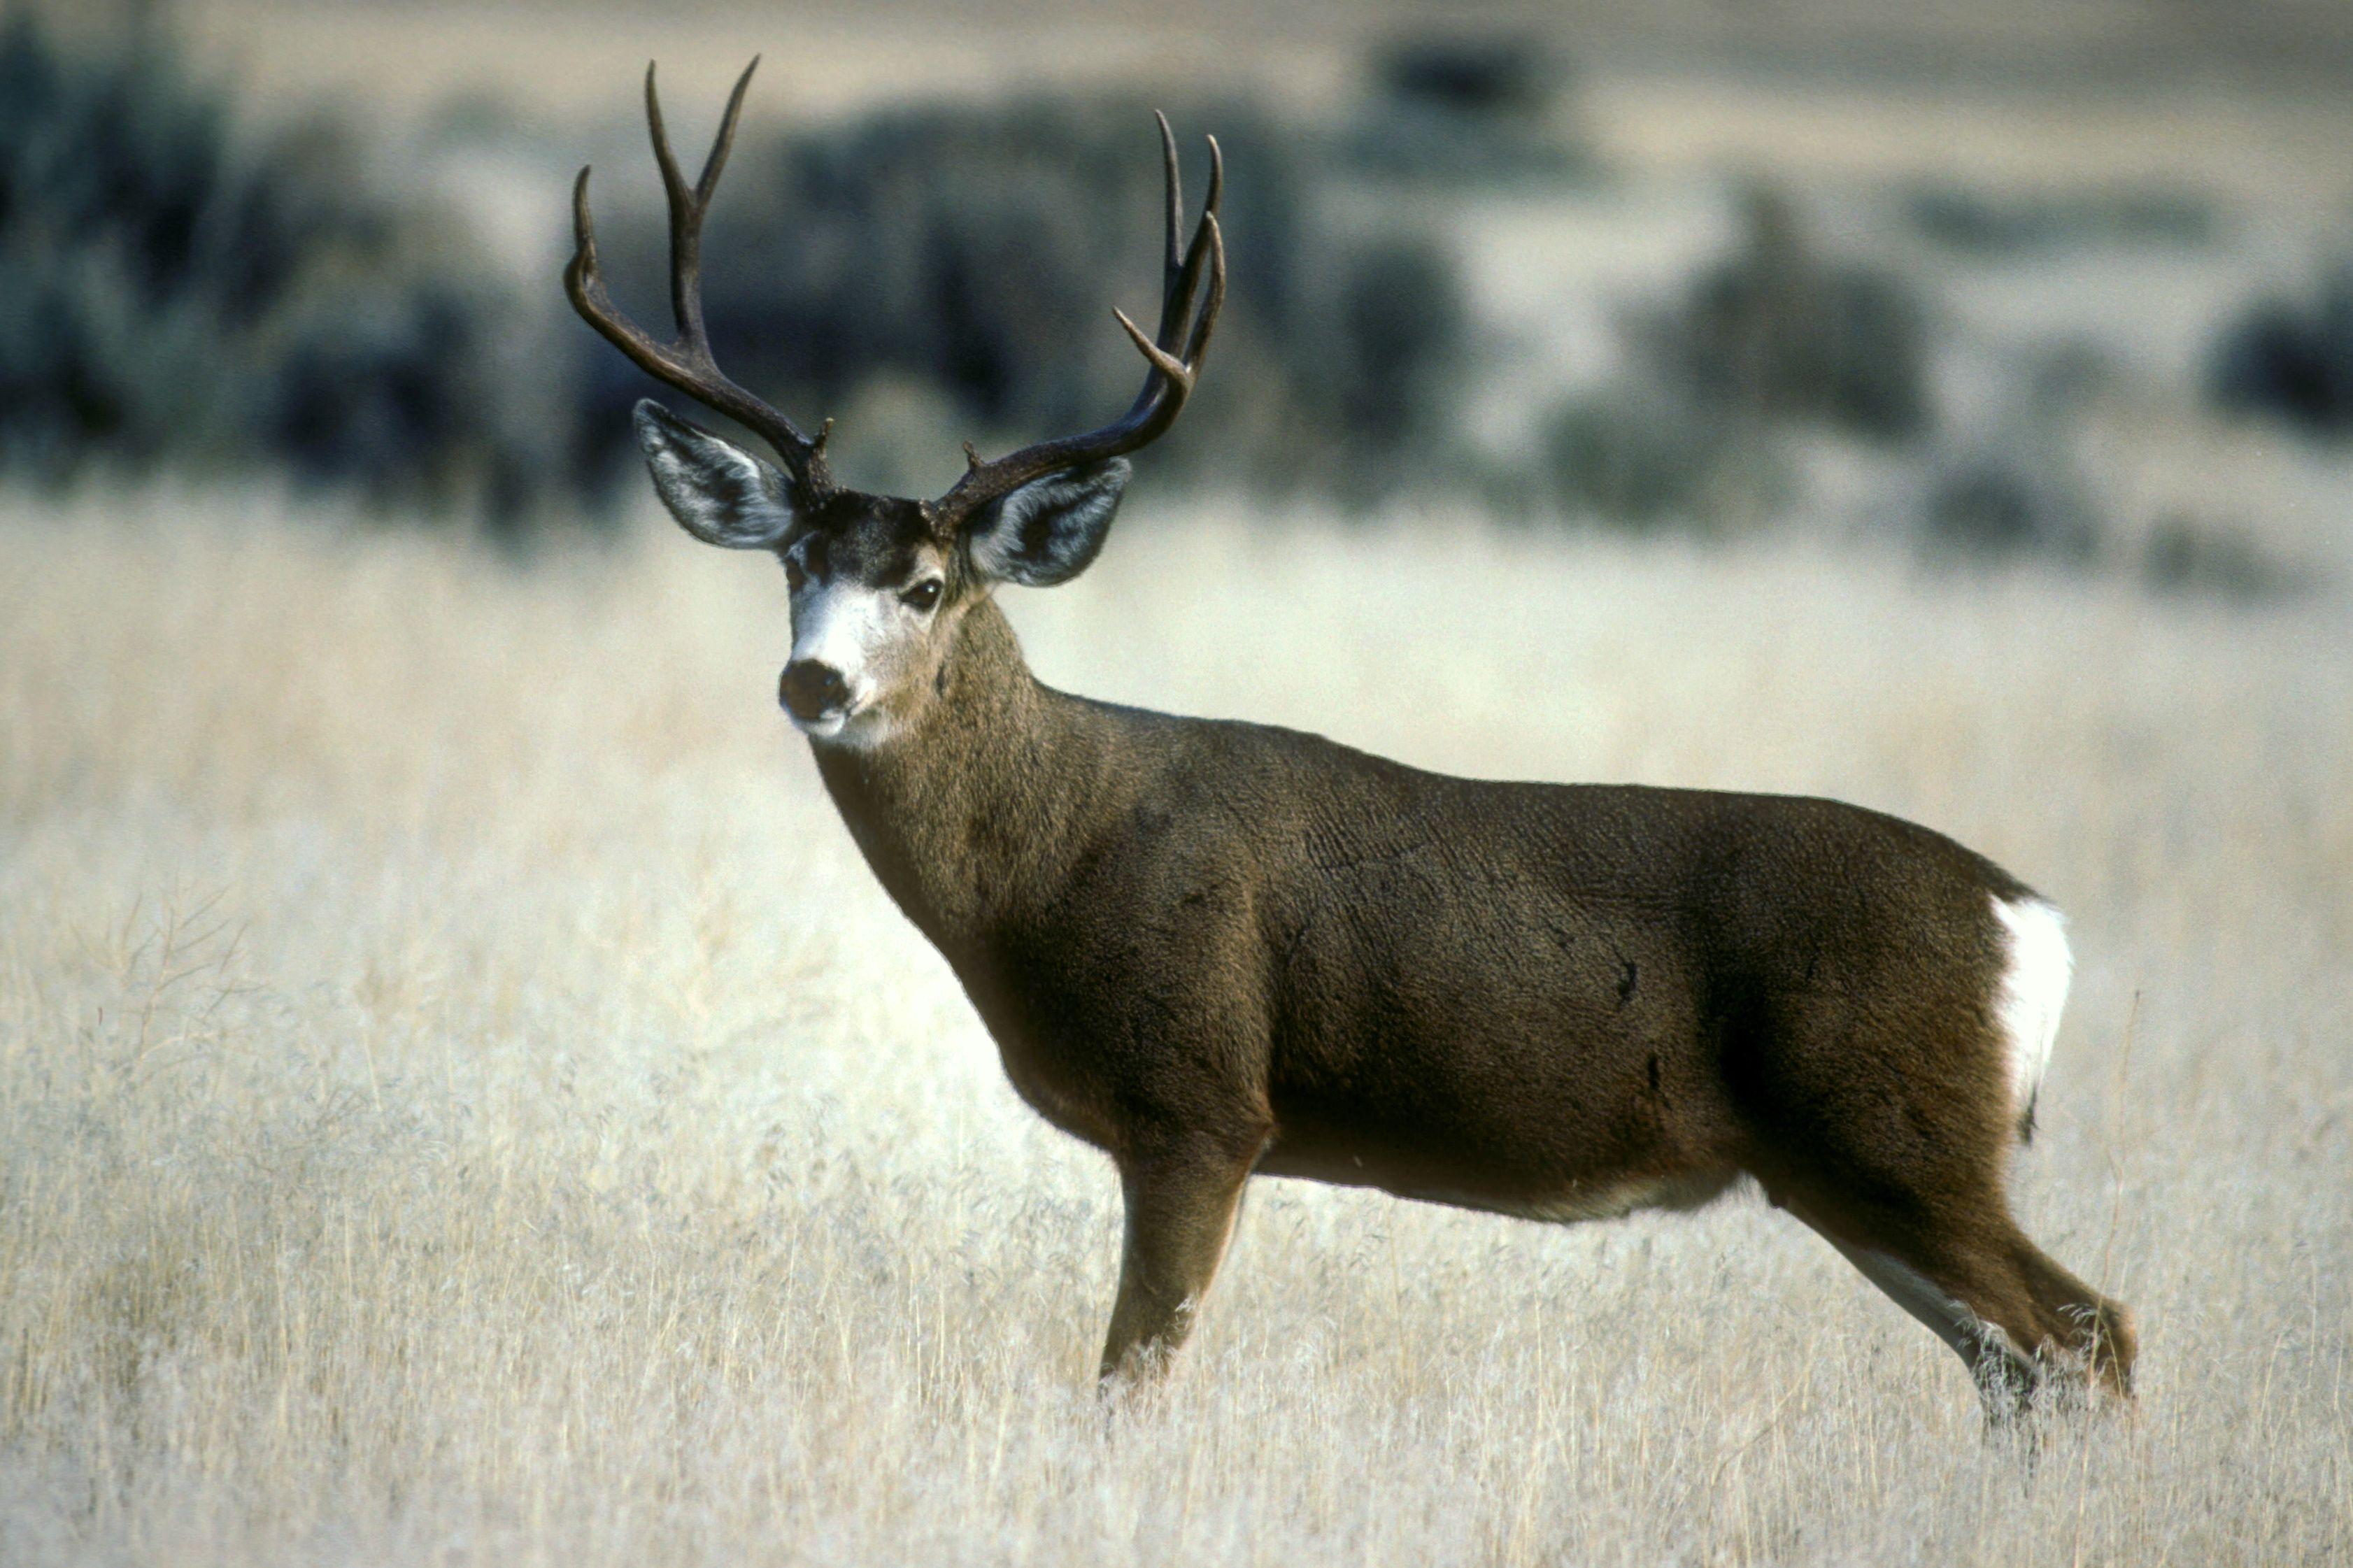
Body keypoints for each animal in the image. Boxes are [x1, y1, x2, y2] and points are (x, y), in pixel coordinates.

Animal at [566, 60, 2136, 1417]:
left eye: (928, 584)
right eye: (793, 564)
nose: (813, 680)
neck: (1052, 854)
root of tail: (2030, 922)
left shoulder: (1202, 1101)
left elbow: (1128, 1378)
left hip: (1894, 1133)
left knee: (2088, 1329)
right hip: (1845, 1166)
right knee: (2015, 1368)